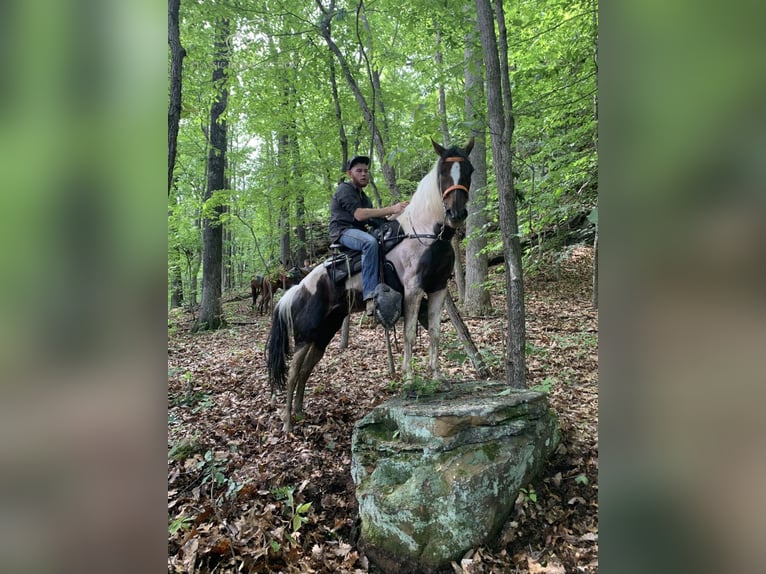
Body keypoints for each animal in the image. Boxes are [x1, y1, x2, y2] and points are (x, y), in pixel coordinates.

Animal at [268, 140, 474, 432]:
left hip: (322, 335)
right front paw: (409, 380)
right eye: (443, 172)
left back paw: (298, 413)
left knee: (306, 370)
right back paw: (287, 423)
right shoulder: (413, 290)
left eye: (469, 170)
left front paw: (437, 378)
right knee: (294, 371)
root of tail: (296, 291)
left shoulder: (438, 289)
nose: (457, 214)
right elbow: (410, 334)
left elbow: (434, 333)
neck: (426, 233)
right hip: (305, 336)